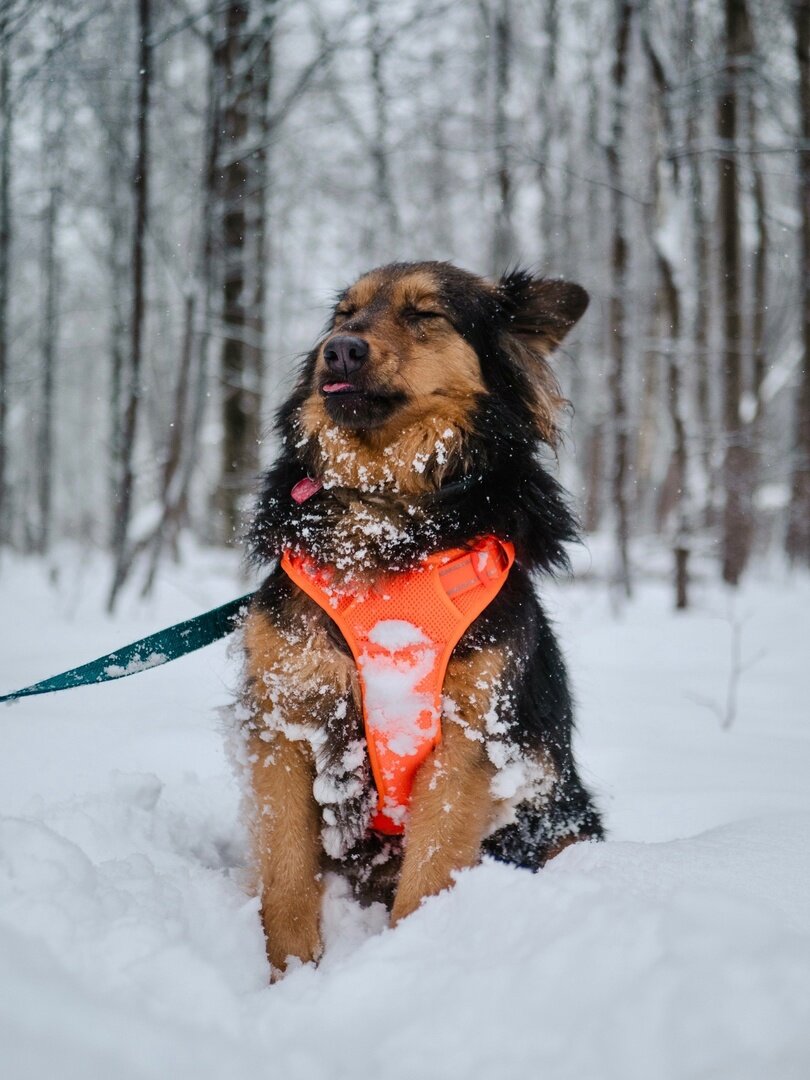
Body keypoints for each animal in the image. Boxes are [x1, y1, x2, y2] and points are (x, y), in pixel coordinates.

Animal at [239, 263, 604, 980]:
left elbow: (430, 875)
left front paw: (407, 966)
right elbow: (286, 873)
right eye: (342, 315)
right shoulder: (287, 715)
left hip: (562, 817)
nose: (339, 351)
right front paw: (290, 976)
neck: (386, 514)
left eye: (424, 314)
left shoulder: (470, 735)